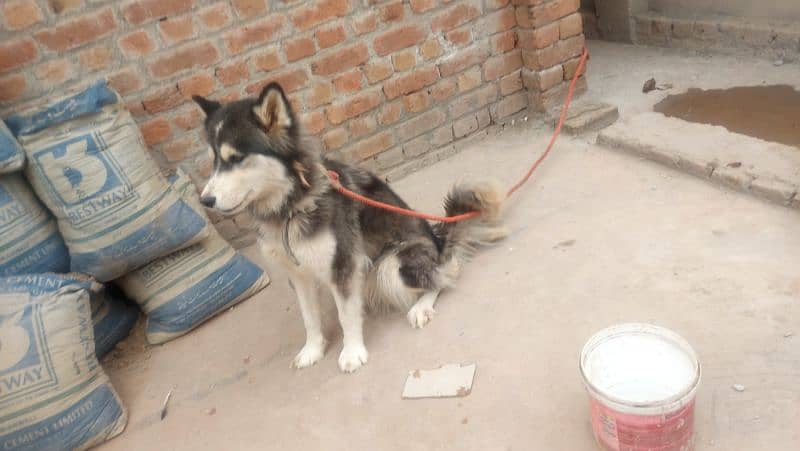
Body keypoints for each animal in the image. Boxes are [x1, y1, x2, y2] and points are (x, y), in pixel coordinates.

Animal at [194, 83, 506, 372]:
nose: (205, 200)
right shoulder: (298, 273)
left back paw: (421, 306)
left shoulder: (343, 263)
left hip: (393, 264)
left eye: (236, 158)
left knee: (445, 273)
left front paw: (352, 351)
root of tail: (438, 243)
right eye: (215, 161)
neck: (289, 209)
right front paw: (313, 349)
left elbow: (345, 315)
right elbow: (309, 317)